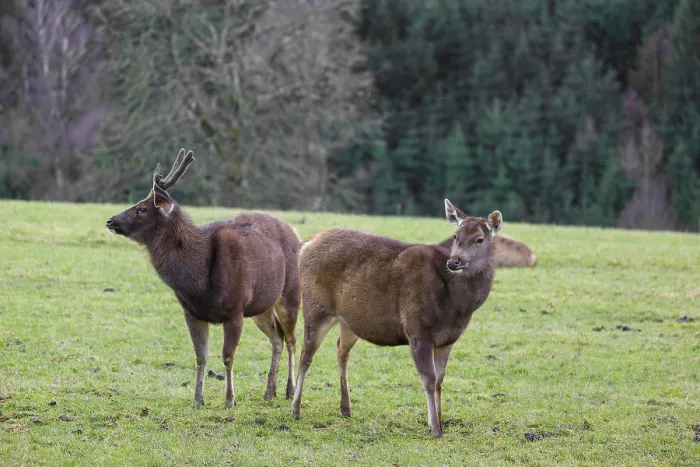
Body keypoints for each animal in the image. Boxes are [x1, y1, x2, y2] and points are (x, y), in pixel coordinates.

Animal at [106, 149, 301, 409]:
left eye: (142, 209)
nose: (111, 221)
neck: (198, 283)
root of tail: (295, 233)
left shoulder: (235, 309)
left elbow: (227, 356)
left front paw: (229, 400)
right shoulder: (192, 312)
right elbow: (200, 356)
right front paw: (198, 400)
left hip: (291, 293)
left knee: (291, 339)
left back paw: (290, 391)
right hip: (261, 306)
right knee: (277, 337)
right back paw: (269, 391)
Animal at [290, 199, 502, 438]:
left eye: (479, 239)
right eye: (455, 236)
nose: (454, 262)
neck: (455, 306)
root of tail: (306, 245)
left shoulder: (448, 340)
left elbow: (440, 381)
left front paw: (441, 421)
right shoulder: (418, 331)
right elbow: (429, 380)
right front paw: (434, 428)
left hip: (350, 321)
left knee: (341, 350)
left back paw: (345, 408)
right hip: (316, 307)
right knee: (306, 354)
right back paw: (295, 409)